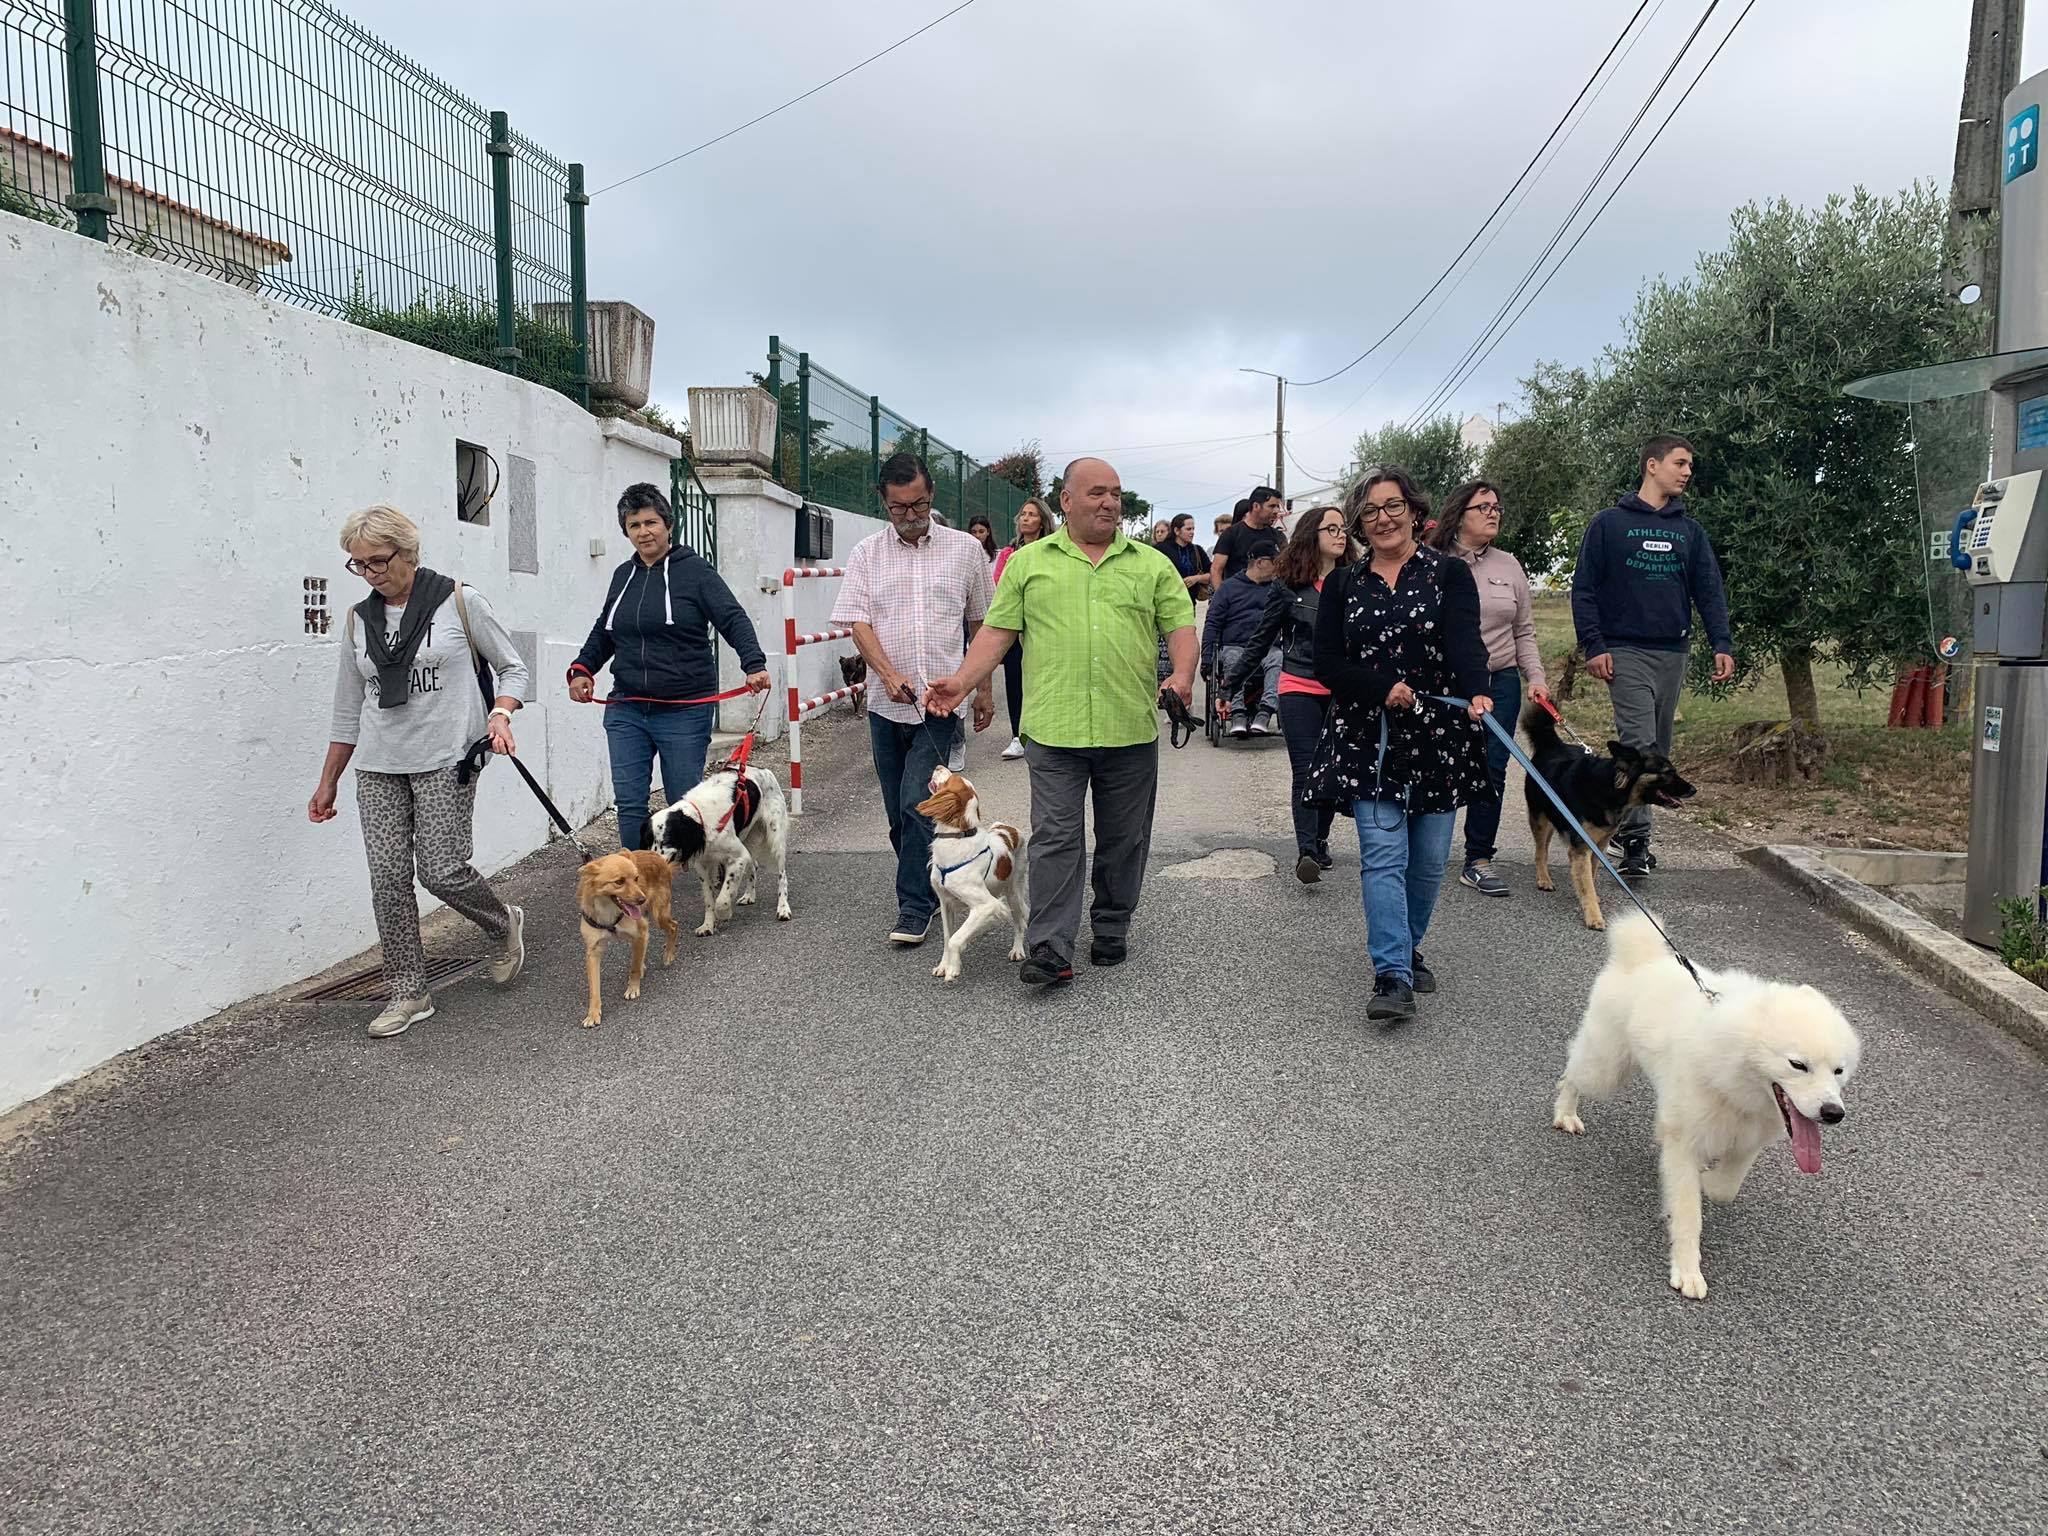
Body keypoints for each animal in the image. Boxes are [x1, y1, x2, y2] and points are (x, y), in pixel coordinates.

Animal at [577, 856, 679, 1036]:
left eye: (637, 878)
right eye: (619, 882)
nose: (641, 899)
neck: (608, 911)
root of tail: (659, 858)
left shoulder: (640, 932)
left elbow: (634, 968)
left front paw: (633, 989)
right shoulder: (593, 951)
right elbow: (594, 989)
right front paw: (593, 1014)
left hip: (659, 914)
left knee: (673, 926)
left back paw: (668, 955)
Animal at [647, 765, 790, 937]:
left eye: (667, 840)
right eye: (648, 840)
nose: (652, 866)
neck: (700, 818)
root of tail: (761, 769)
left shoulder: (738, 857)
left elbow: (722, 899)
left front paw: (724, 914)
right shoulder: (703, 864)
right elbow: (709, 899)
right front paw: (708, 925)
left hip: (775, 838)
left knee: (782, 876)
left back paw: (783, 908)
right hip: (747, 839)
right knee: (754, 866)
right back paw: (749, 895)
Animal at [921, 765, 1032, 987]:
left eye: (950, 779)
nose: (938, 766)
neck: (956, 838)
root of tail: (1010, 828)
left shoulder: (986, 905)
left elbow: (955, 939)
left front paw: (953, 969)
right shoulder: (945, 902)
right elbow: (947, 936)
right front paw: (944, 965)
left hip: (1014, 892)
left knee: (1019, 922)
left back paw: (1017, 950)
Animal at [1523, 704, 1695, 933]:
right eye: (1668, 772)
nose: (1694, 790)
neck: (1611, 787)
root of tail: (1553, 745)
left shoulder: (1599, 843)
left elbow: (1592, 875)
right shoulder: (1581, 846)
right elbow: (1586, 883)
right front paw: (1594, 916)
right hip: (1541, 819)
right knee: (1541, 852)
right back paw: (1543, 879)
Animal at [1556, 921, 1867, 1302]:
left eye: (1838, 1070)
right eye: (1798, 1065)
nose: (1833, 1112)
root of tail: (1642, 957)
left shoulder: (1748, 1141)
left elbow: (1724, 1189)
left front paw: (1709, 1180)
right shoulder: (1685, 1144)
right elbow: (1689, 1216)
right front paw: (1688, 1271)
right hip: (1605, 1071)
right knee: (1571, 1075)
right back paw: (1565, 1114)